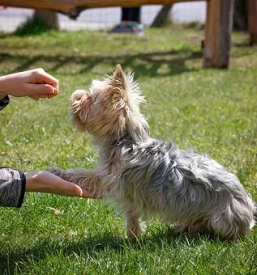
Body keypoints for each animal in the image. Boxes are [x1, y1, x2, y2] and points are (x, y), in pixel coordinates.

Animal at [49, 65, 255, 242]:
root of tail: (249, 206)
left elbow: (83, 174)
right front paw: (132, 238)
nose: (75, 95)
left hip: (222, 218)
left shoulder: (109, 178)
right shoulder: (128, 195)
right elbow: (132, 217)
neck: (126, 139)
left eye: (91, 98)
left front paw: (58, 172)